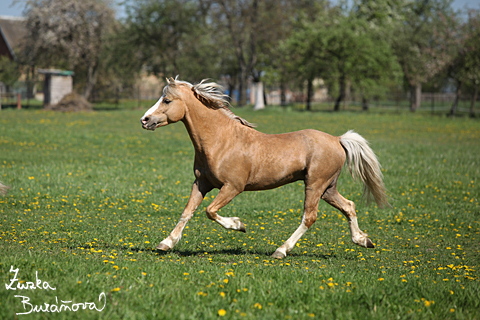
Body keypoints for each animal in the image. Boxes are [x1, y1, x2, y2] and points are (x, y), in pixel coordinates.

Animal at [141, 78, 388, 260]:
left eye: (166, 100)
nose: (145, 120)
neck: (221, 141)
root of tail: (338, 139)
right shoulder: (201, 183)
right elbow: (187, 212)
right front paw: (165, 243)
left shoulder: (233, 187)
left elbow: (210, 211)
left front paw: (239, 225)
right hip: (328, 188)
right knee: (349, 206)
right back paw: (363, 240)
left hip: (315, 185)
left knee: (309, 217)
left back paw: (280, 251)